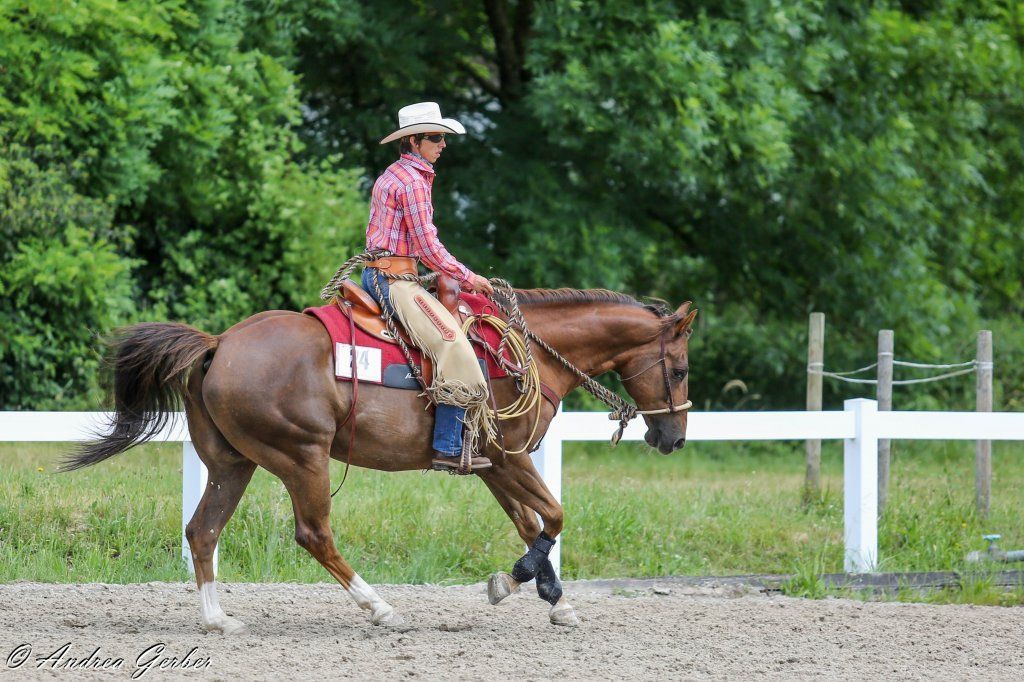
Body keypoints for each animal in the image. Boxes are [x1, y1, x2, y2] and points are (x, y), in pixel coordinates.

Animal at [64, 287, 696, 631]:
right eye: (682, 368)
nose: (672, 437)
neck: (522, 355)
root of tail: (218, 344)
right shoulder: (511, 458)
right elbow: (556, 516)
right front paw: (512, 582)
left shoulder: (493, 467)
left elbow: (530, 523)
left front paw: (550, 600)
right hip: (302, 458)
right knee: (314, 534)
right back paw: (381, 608)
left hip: (231, 465)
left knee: (202, 531)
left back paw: (218, 618)